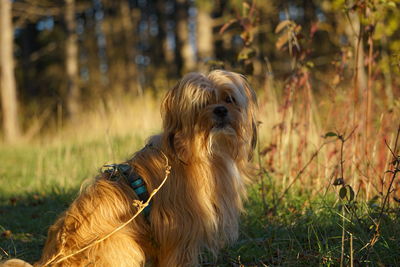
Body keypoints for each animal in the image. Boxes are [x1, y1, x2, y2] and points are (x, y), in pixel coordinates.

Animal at [2, 70, 256, 266]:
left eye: (229, 99)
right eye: (202, 103)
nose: (220, 110)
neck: (202, 151)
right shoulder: (178, 234)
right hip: (122, 243)